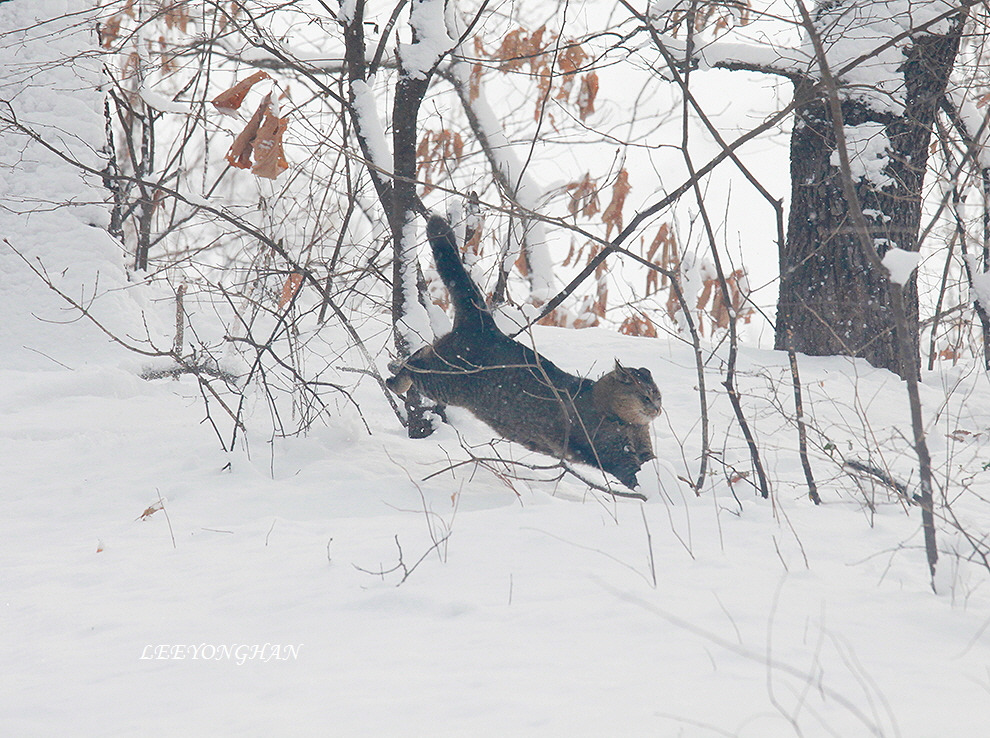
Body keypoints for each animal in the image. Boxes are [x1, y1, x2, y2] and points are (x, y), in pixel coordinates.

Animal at [390, 214, 668, 488]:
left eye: (658, 394)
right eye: (645, 396)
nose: (657, 408)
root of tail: (485, 324)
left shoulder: (645, 451)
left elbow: (658, 470)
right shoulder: (614, 454)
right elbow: (636, 478)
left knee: (422, 350)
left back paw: (393, 368)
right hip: (446, 380)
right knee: (415, 363)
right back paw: (395, 379)